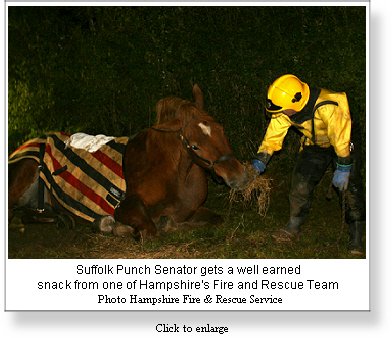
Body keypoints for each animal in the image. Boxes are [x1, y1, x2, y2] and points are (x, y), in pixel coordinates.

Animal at [8, 84, 248, 238]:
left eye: (221, 129)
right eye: (195, 145)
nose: (239, 176)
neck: (172, 176)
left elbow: (215, 220)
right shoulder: (125, 207)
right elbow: (151, 229)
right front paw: (115, 227)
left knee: (27, 215)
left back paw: (61, 218)